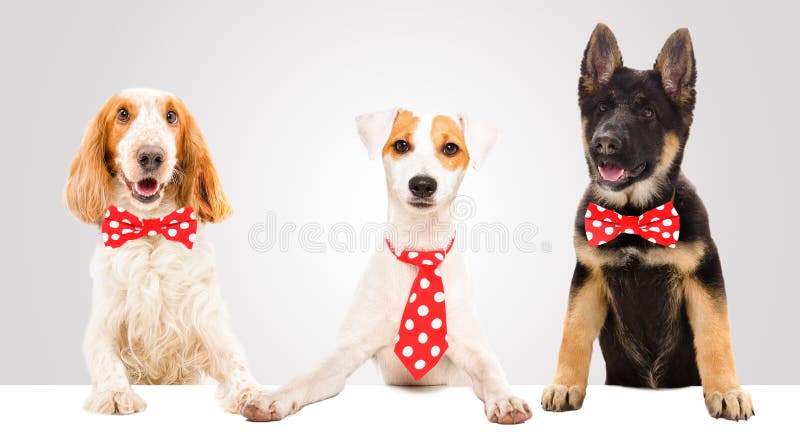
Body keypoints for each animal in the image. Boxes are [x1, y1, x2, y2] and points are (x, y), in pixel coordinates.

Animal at [540, 24, 752, 422]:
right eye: (603, 108)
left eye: (648, 112)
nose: (604, 143)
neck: (633, 216)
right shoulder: (588, 276)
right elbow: (573, 333)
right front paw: (564, 385)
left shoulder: (705, 275)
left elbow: (715, 337)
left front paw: (726, 391)